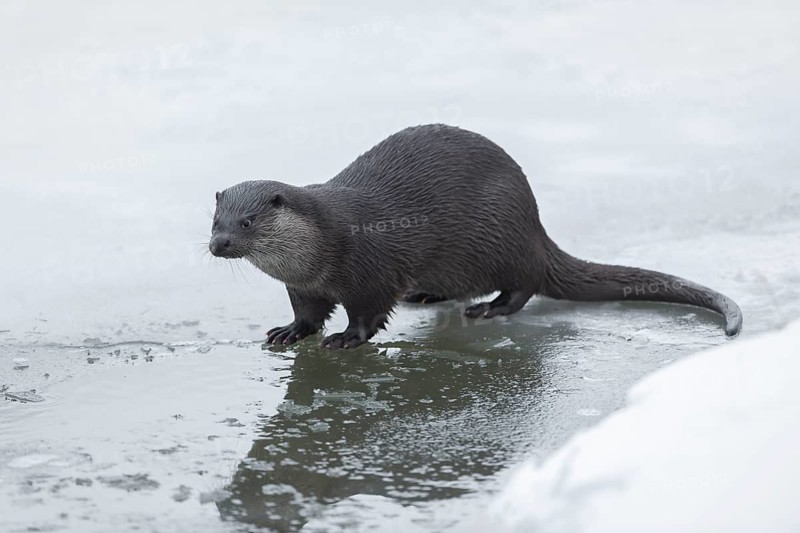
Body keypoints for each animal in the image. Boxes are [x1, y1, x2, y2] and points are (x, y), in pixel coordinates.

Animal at [209, 124, 742, 349]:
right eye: (215, 220)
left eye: (247, 222)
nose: (218, 245)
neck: (324, 248)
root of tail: (535, 225)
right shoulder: (303, 285)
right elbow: (307, 314)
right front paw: (290, 332)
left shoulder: (373, 271)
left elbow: (368, 315)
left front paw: (345, 339)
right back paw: (427, 295)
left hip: (501, 238)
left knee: (525, 283)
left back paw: (489, 309)